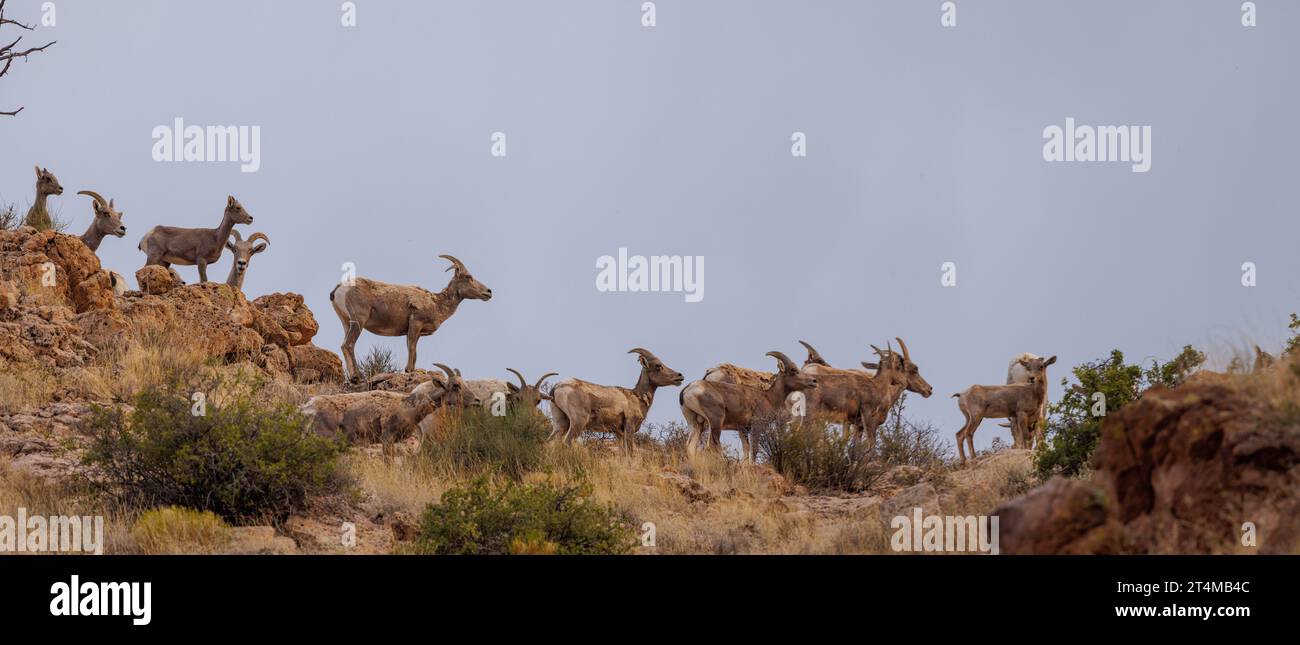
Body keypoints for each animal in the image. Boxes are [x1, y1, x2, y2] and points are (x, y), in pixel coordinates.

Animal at [329, 254, 492, 382]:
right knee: (348, 345)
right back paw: (357, 377)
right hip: (358, 322)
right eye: (468, 277)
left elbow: (414, 352)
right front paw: (409, 371)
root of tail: (339, 289)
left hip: (346, 322)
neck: (437, 303)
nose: (488, 292)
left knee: (345, 345)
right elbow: (412, 349)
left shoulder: (416, 332)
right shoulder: (415, 323)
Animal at [548, 348, 684, 454]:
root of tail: (558, 387)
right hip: (578, 423)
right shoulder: (629, 428)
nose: (680, 376)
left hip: (561, 424)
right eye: (658, 365)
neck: (636, 397)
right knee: (566, 443)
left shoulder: (618, 433)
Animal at [679, 350, 819, 462]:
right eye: (793, 370)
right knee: (712, 446)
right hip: (715, 423)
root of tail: (689, 389)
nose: (814, 381)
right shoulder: (757, 427)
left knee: (690, 446)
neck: (769, 397)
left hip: (696, 424)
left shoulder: (743, 429)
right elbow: (754, 450)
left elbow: (746, 450)